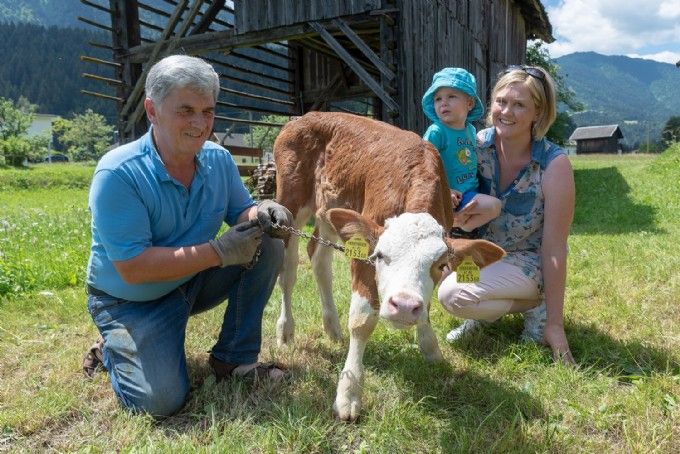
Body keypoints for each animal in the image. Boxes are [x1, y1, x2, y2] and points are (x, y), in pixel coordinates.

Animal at [272, 111, 504, 420]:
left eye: (441, 264)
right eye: (380, 255)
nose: (404, 306)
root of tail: (306, 115)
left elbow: (426, 309)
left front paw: (430, 348)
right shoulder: (363, 256)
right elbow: (361, 320)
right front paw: (348, 393)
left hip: (330, 209)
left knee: (319, 259)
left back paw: (332, 327)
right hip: (290, 201)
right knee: (288, 271)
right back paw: (286, 331)